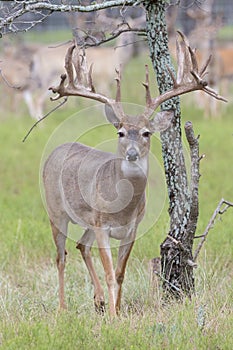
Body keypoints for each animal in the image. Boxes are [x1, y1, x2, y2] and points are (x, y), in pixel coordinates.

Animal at [43, 32, 226, 318]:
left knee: (81, 245)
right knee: (61, 257)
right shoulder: (103, 226)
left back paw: (98, 301)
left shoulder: (131, 229)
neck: (122, 206)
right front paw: (114, 318)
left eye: (146, 133)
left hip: (87, 222)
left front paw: (117, 309)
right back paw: (63, 307)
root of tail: (56, 151)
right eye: (120, 132)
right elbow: (109, 273)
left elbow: (120, 273)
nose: (131, 153)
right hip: (57, 212)